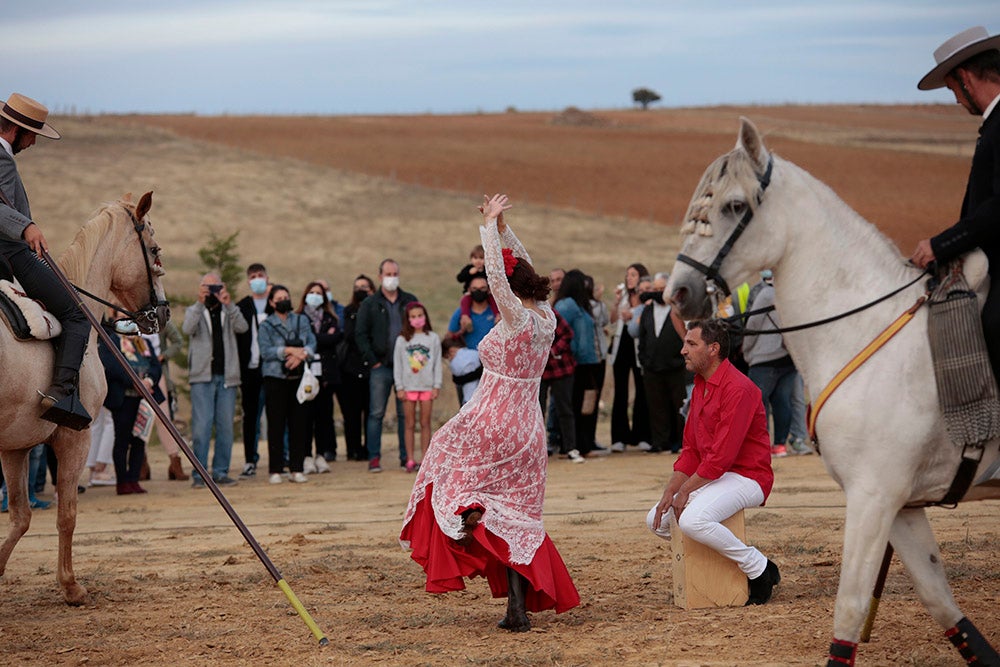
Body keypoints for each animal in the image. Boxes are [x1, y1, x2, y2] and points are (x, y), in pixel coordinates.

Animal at [0, 193, 168, 604]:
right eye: (154, 249)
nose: (165, 312)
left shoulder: (15, 445)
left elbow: (20, 517)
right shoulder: (75, 438)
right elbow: (67, 514)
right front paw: (71, 585)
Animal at [664, 121, 1000, 667]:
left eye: (734, 206)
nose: (677, 293)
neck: (866, 328)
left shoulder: (872, 495)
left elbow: (849, 606)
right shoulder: (901, 506)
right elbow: (939, 599)